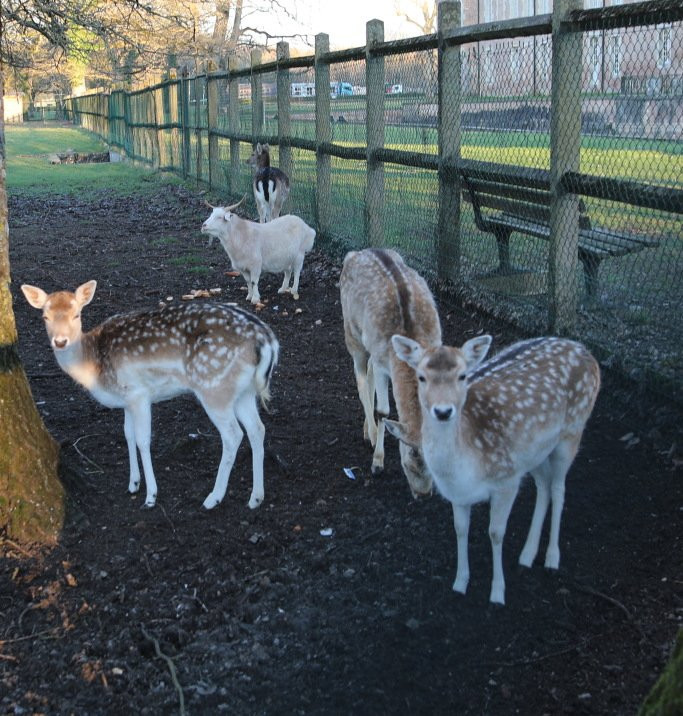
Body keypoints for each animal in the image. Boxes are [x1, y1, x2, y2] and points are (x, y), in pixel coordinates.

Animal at [22, 280, 278, 510]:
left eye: (76, 315)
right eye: (45, 317)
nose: (60, 341)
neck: (93, 366)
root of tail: (267, 341)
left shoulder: (139, 393)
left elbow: (143, 440)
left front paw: (151, 496)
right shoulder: (126, 399)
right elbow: (128, 435)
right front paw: (133, 483)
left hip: (214, 387)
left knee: (233, 434)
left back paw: (213, 498)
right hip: (243, 390)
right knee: (257, 428)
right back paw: (256, 498)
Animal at [342, 249, 444, 496]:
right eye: (410, 453)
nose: (424, 493)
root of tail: (354, 253)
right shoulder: (382, 363)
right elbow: (383, 411)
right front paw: (377, 463)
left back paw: (366, 429)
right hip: (352, 332)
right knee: (360, 376)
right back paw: (370, 433)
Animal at [388, 336, 600, 604]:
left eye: (463, 375)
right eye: (421, 377)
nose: (443, 411)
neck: (465, 469)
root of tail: (584, 350)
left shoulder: (506, 480)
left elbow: (496, 533)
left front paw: (498, 593)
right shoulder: (459, 494)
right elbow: (460, 530)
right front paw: (460, 583)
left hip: (572, 432)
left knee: (559, 488)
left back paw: (552, 558)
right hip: (536, 453)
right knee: (543, 486)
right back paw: (527, 554)